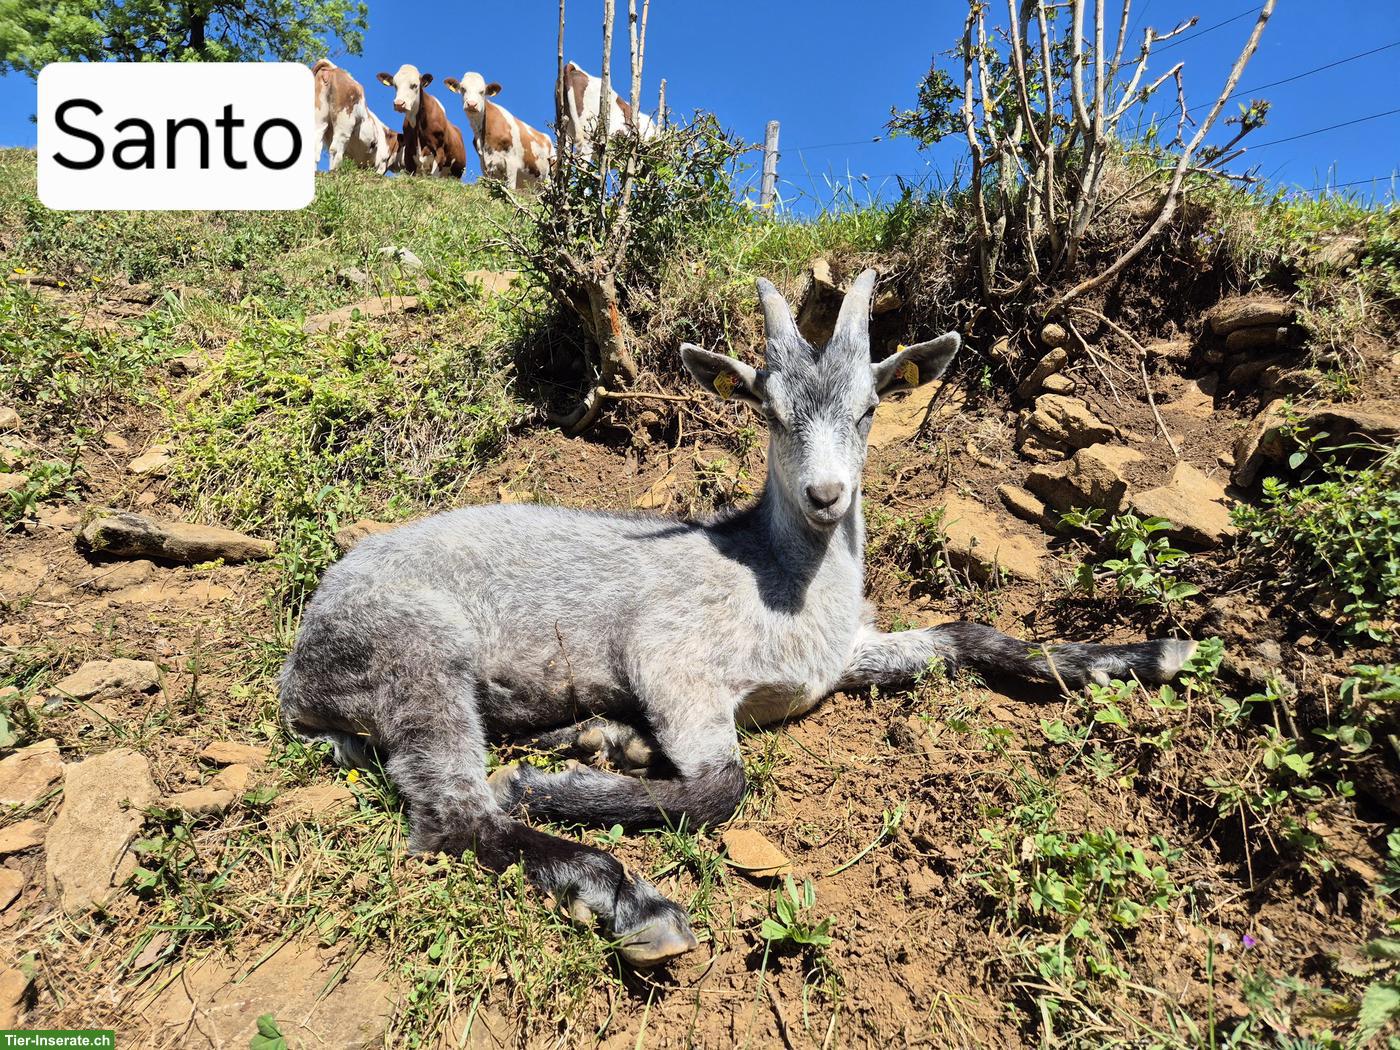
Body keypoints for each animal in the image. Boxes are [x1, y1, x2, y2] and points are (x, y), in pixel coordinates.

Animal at [279, 271, 1196, 966]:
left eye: (869, 408)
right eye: (768, 409)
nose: (828, 495)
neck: (778, 578)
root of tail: (297, 679)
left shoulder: (843, 655)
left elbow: (966, 635)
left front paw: (1147, 653)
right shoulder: (671, 661)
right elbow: (723, 786)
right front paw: (549, 786)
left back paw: (599, 743)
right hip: (415, 654)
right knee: (453, 814)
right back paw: (629, 895)